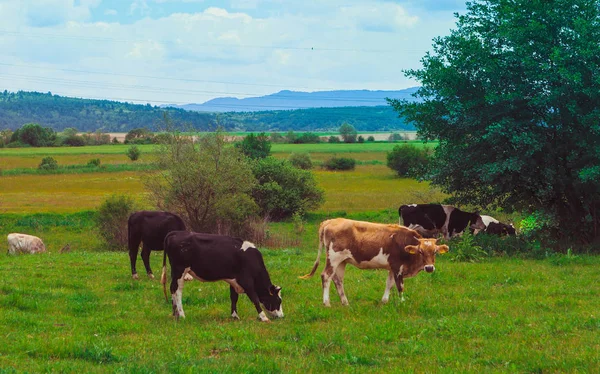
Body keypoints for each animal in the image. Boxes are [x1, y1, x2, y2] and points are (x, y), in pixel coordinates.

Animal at [300, 219, 450, 306]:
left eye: (435, 252)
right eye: (420, 251)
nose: (429, 268)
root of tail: (330, 221)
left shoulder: (391, 268)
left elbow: (389, 284)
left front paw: (384, 301)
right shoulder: (397, 267)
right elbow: (400, 286)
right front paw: (402, 302)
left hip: (341, 261)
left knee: (338, 280)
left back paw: (345, 302)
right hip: (333, 258)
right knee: (326, 276)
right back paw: (326, 303)